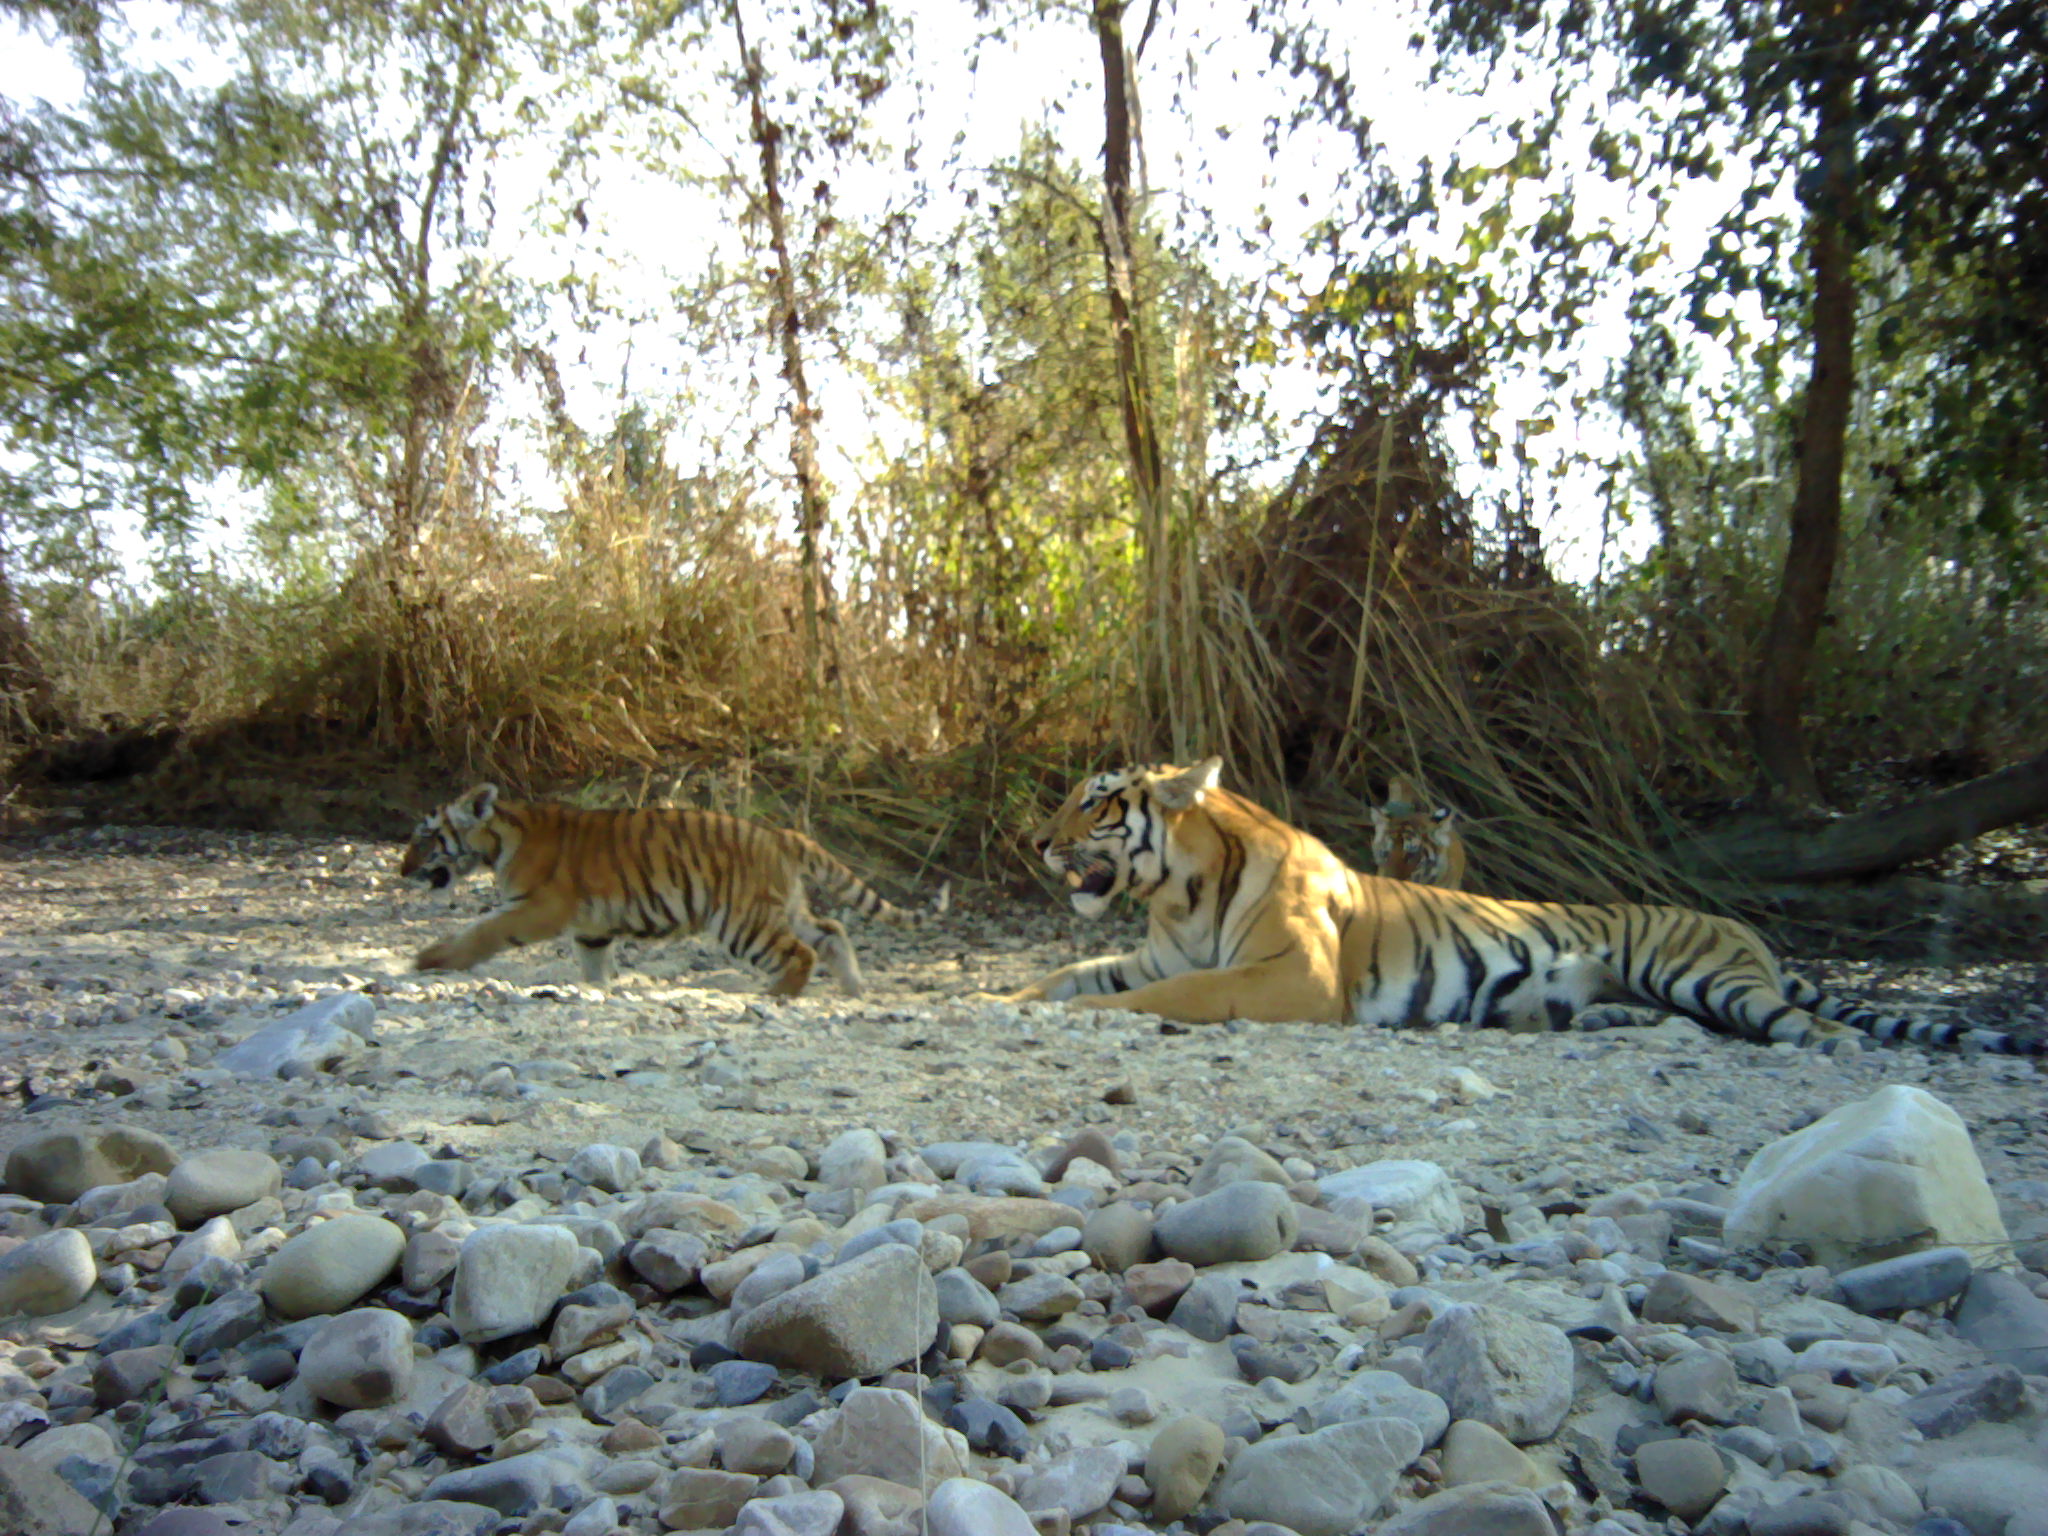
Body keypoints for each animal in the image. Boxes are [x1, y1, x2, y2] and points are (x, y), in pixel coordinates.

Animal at [399, 783, 946, 996]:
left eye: (425, 836)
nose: (402, 870)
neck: (499, 838)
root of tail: (778, 834)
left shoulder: (539, 907)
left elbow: (481, 932)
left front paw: (430, 960)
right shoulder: (591, 924)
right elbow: (593, 962)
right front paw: (598, 990)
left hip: (742, 921)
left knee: (799, 953)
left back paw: (776, 996)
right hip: (783, 906)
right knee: (831, 931)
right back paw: (854, 989)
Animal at [992, 757, 2042, 1055]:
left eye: (1094, 800)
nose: (1035, 840)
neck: (1178, 896)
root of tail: (1748, 931)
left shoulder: (1294, 979)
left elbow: (1155, 998)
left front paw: (1092, 1017)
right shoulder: (1151, 952)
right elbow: (1065, 970)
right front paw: (993, 1000)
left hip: (1702, 972)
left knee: (1802, 1026)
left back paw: (1825, 1048)